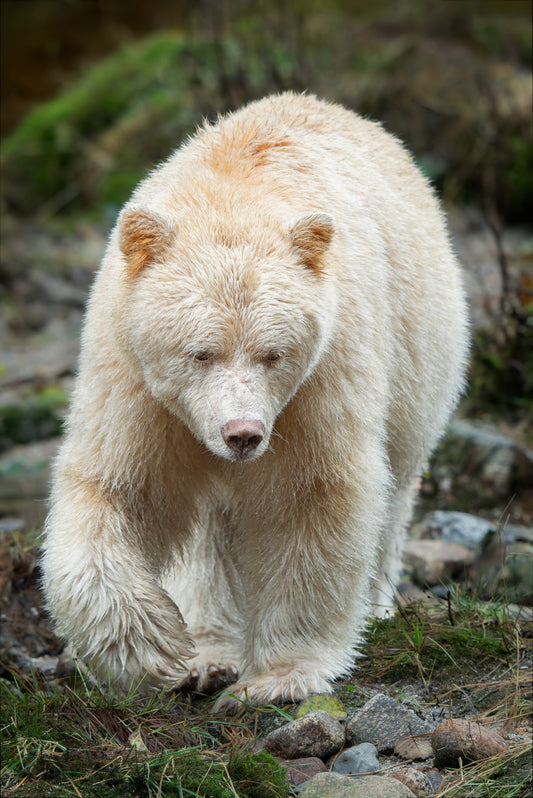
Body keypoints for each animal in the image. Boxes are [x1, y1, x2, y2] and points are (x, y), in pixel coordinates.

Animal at [41, 95, 468, 712]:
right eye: (200, 353)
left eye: (273, 353)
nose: (242, 433)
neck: (232, 192)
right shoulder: (134, 379)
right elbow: (117, 488)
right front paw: (154, 647)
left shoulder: (321, 377)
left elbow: (310, 497)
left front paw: (277, 677)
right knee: (209, 533)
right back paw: (209, 654)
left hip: (420, 359)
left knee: (396, 488)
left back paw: (374, 605)